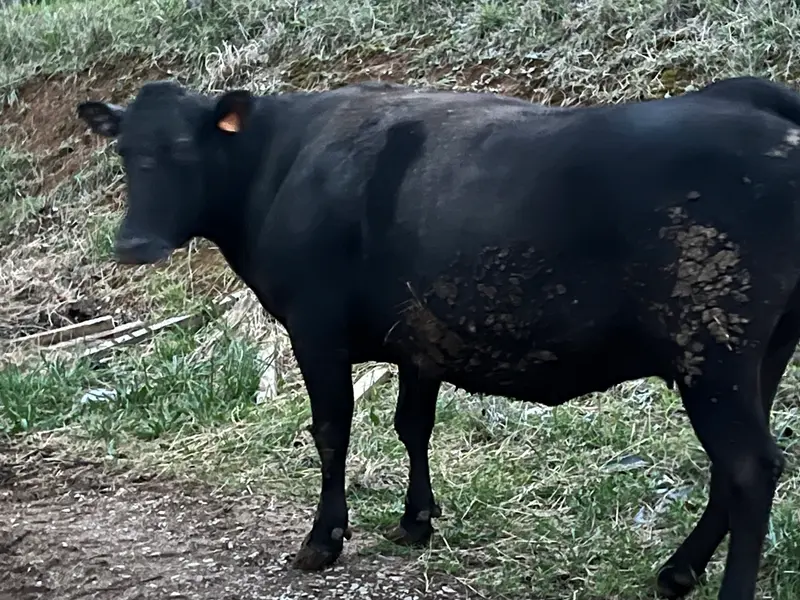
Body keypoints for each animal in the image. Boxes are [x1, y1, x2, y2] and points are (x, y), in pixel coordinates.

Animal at [76, 75, 800, 600]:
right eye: (124, 152)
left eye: (185, 150)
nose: (133, 244)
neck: (281, 162)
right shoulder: (418, 339)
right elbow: (412, 425)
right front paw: (415, 521)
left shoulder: (316, 328)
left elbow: (332, 430)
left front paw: (323, 540)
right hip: (758, 354)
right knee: (735, 468)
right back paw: (678, 571)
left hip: (715, 352)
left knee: (750, 467)